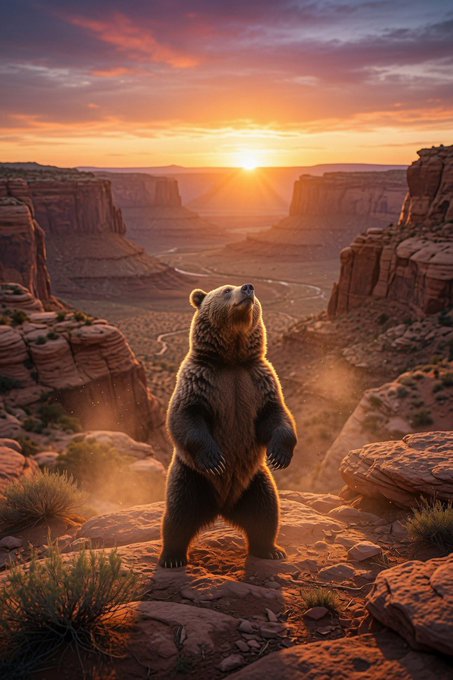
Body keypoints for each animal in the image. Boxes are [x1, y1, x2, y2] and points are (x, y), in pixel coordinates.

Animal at [159, 282, 297, 568]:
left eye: (252, 291)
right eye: (225, 290)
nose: (248, 288)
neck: (232, 360)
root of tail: (222, 506)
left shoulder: (259, 380)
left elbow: (276, 414)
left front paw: (279, 455)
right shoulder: (199, 379)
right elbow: (185, 416)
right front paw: (215, 459)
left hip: (254, 481)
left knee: (266, 511)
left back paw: (271, 549)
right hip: (192, 479)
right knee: (178, 515)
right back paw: (172, 557)